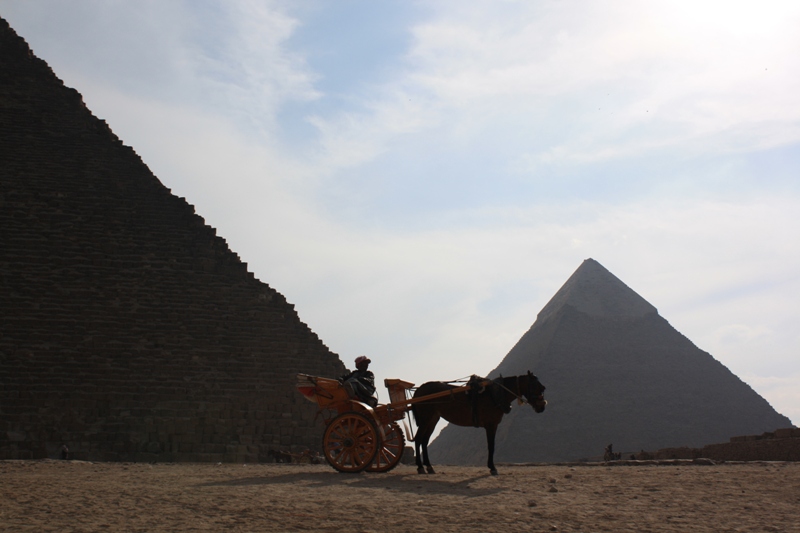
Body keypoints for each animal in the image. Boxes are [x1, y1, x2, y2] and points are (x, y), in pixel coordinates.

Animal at [410, 372, 548, 476]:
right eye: (539, 387)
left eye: (543, 388)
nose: (542, 407)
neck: (496, 394)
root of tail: (419, 390)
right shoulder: (491, 425)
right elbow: (491, 446)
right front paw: (492, 468)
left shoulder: (493, 425)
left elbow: (491, 446)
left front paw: (491, 466)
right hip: (425, 418)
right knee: (418, 439)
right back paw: (420, 467)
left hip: (433, 419)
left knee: (424, 440)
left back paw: (429, 467)